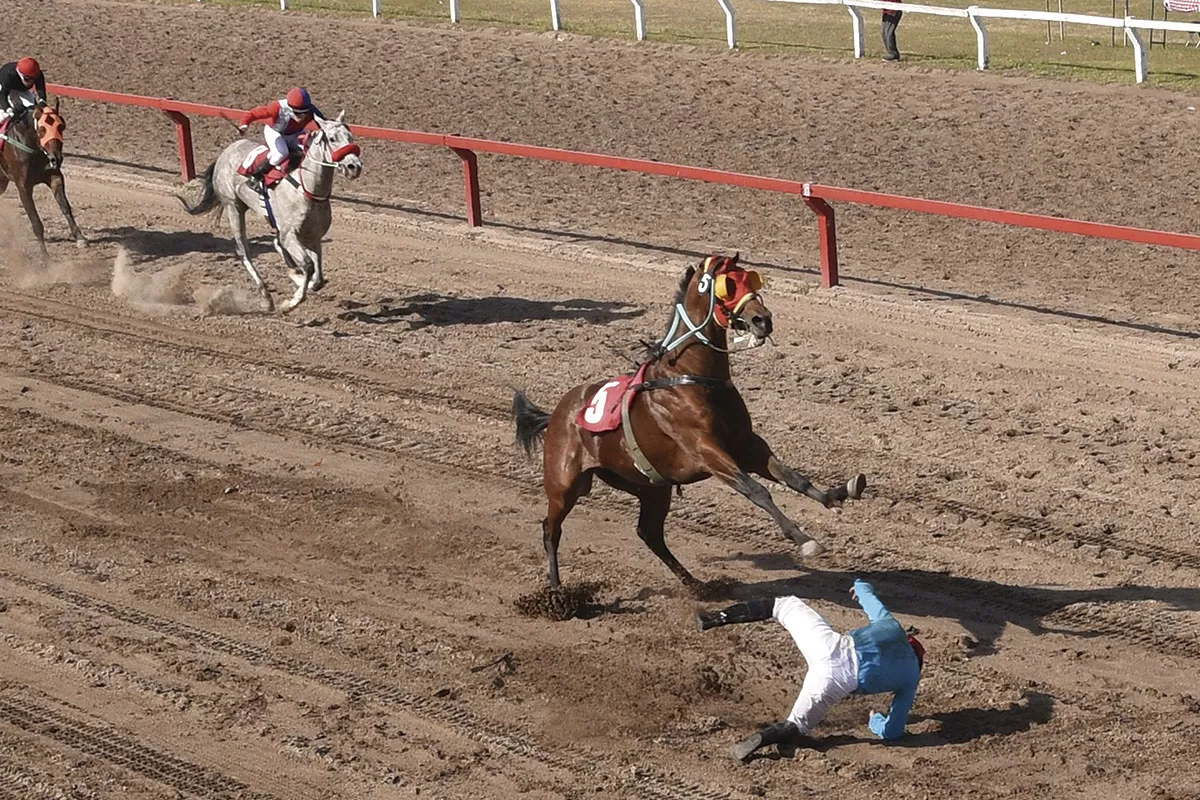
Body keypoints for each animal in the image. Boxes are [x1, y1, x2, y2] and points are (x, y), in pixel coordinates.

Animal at [0, 100, 87, 256]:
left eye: (61, 126)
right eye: (42, 129)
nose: (57, 158)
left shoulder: (55, 177)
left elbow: (65, 207)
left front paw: (80, 237)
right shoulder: (23, 186)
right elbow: (36, 221)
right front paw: (45, 256)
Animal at [177, 112, 362, 311]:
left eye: (350, 137)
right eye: (332, 138)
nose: (354, 167)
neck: (307, 189)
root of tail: (226, 151)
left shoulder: (313, 236)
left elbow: (318, 277)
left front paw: (301, 279)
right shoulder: (290, 235)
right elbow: (308, 265)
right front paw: (291, 301)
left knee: (274, 245)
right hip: (233, 207)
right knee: (244, 251)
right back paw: (266, 297)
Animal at [511, 253, 868, 597]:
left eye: (750, 279)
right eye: (727, 285)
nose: (762, 319)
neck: (691, 376)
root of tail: (557, 414)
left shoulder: (747, 444)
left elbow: (793, 477)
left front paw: (838, 495)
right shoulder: (706, 451)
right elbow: (757, 490)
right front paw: (803, 539)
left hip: (651, 487)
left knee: (650, 534)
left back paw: (697, 585)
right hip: (564, 485)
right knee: (550, 529)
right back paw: (557, 591)